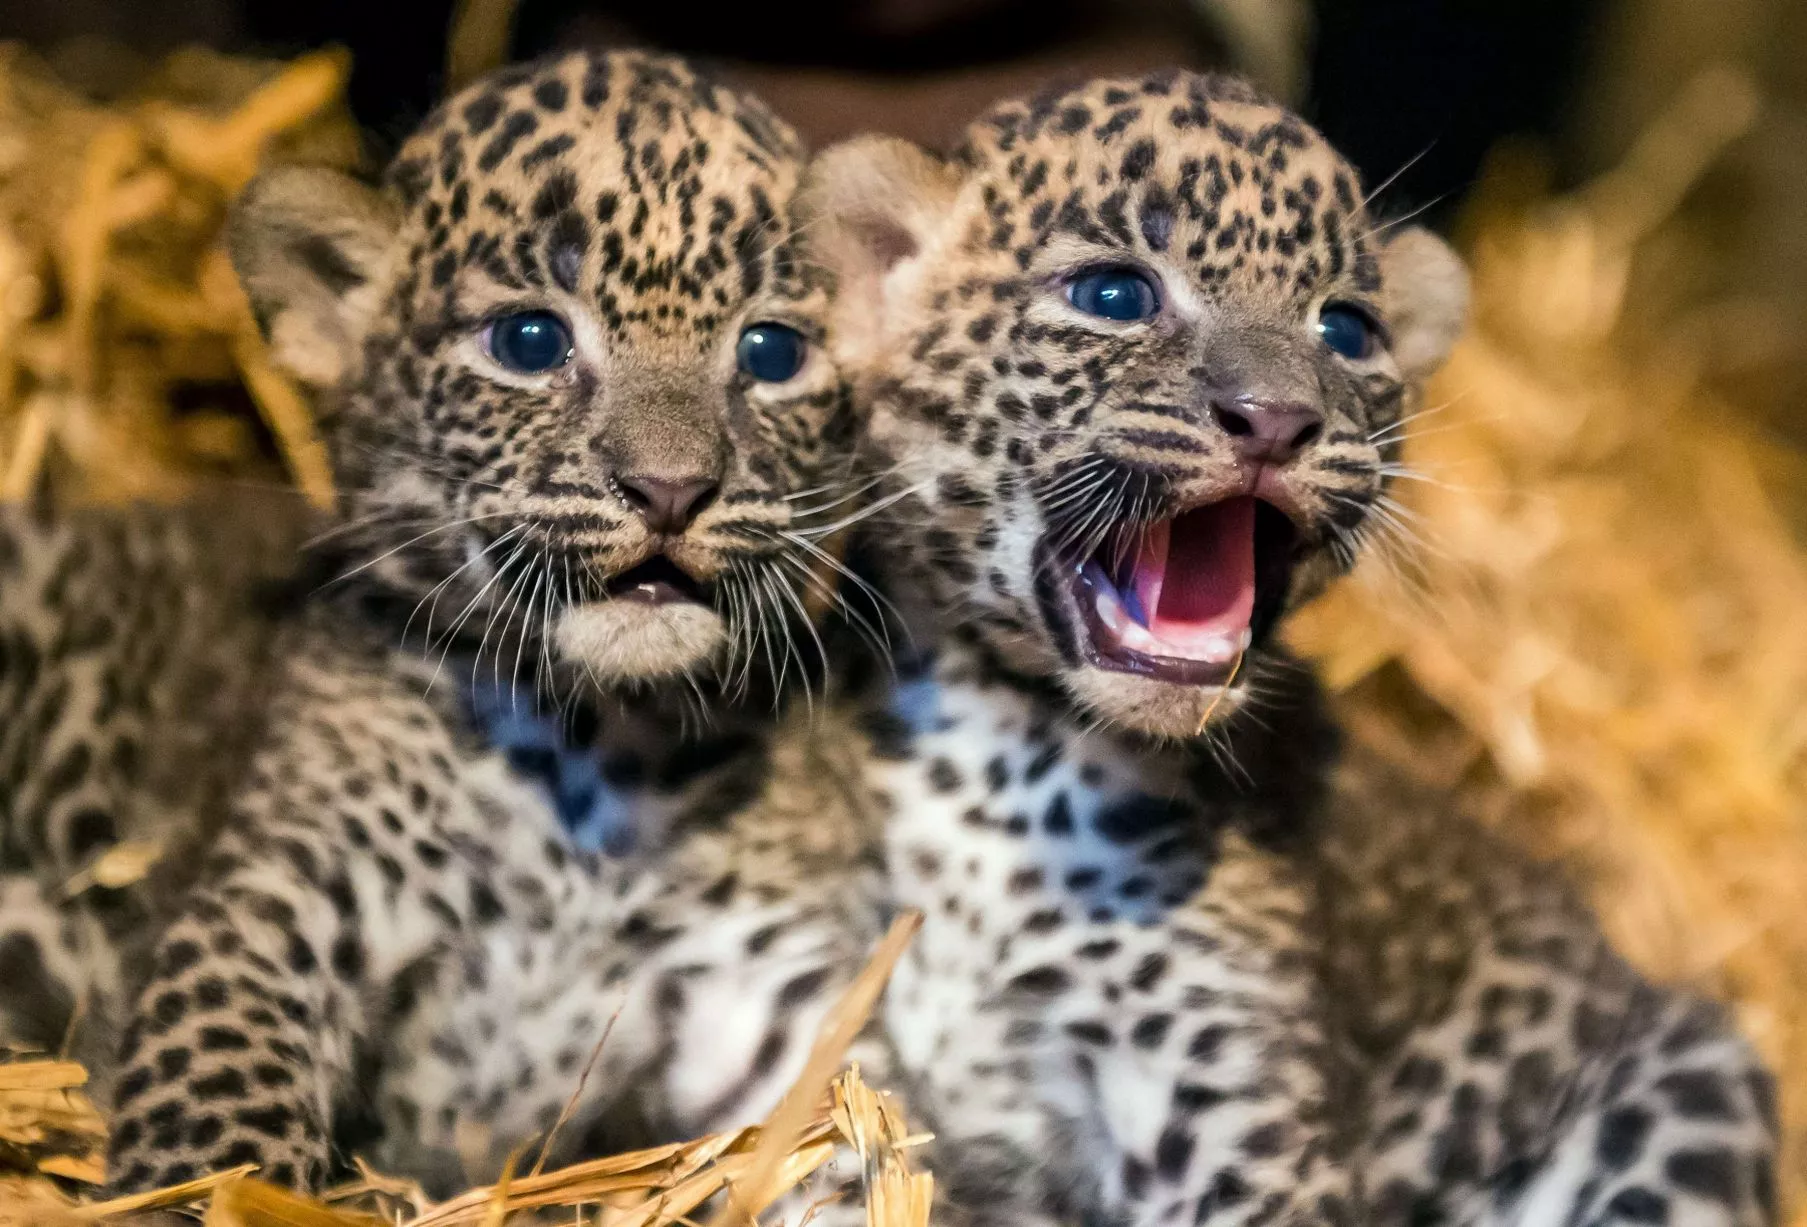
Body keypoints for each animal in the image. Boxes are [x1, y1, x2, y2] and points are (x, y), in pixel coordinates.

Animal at [95, 48, 882, 1194]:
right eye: (529, 340)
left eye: (772, 353)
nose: (670, 488)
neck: (596, 749)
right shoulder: (272, 909)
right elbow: (217, 1132)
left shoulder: (755, 989)